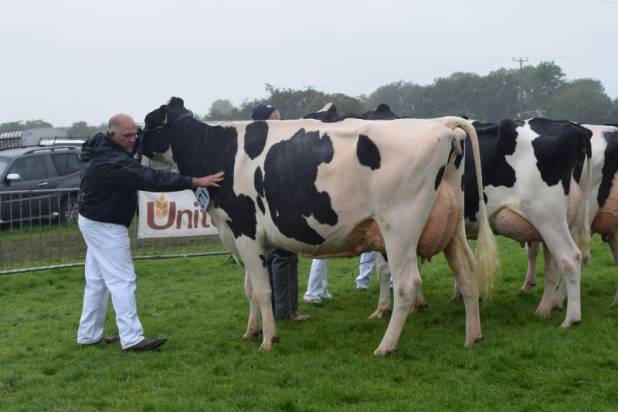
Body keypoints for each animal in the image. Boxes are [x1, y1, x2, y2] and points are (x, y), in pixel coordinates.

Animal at [141, 96, 496, 354]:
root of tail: (442, 125)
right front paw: (250, 331)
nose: (135, 145)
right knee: (467, 272)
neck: (219, 150)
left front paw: (268, 339)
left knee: (407, 284)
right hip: (451, 227)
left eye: (147, 122)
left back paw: (385, 346)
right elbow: (249, 289)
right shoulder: (240, 236)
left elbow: (262, 290)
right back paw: (473, 336)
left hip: (400, 226)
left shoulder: (245, 231)